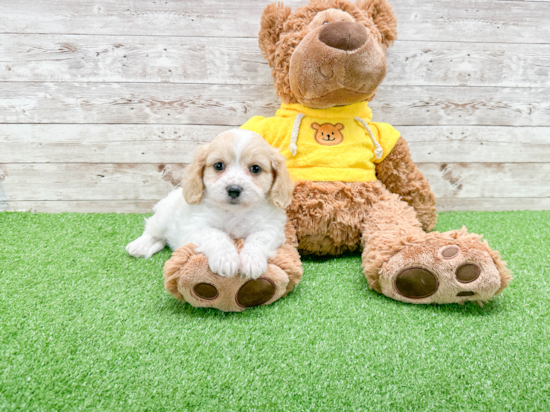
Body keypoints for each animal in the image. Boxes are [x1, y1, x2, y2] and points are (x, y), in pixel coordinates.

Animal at [126, 129, 296, 280]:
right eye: (218, 166)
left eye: (255, 168)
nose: (234, 190)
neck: (235, 212)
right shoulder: (194, 227)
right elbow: (216, 234)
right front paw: (226, 259)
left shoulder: (272, 229)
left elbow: (258, 238)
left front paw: (252, 261)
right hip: (162, 217)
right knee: (151, 231)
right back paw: (139, 246)